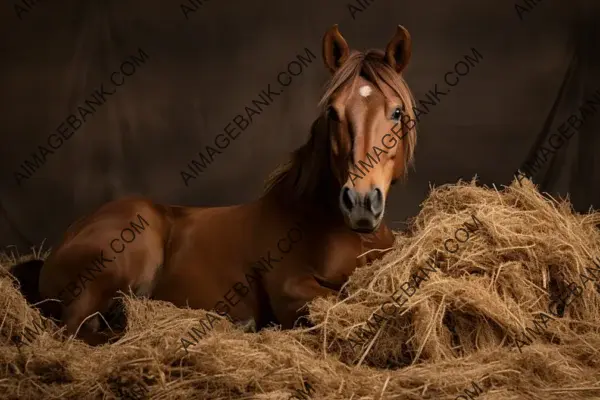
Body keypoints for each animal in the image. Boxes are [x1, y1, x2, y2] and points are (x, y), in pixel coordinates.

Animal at [12, 23, 418, 346]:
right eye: (333, 113)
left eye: (397, 112)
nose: (360, 202)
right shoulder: (290, 290)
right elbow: (335, 302)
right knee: (76, 329)